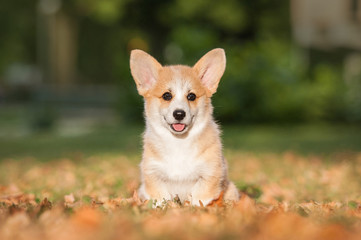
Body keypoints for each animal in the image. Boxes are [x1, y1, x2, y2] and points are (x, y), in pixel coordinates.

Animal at [129, 47, 239, 205]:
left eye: (191, 96)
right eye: (167, 96)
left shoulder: (209, 174)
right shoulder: (153, 174)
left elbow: (199, 199)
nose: (179, 114)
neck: (179, 142)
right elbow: (161, 200)